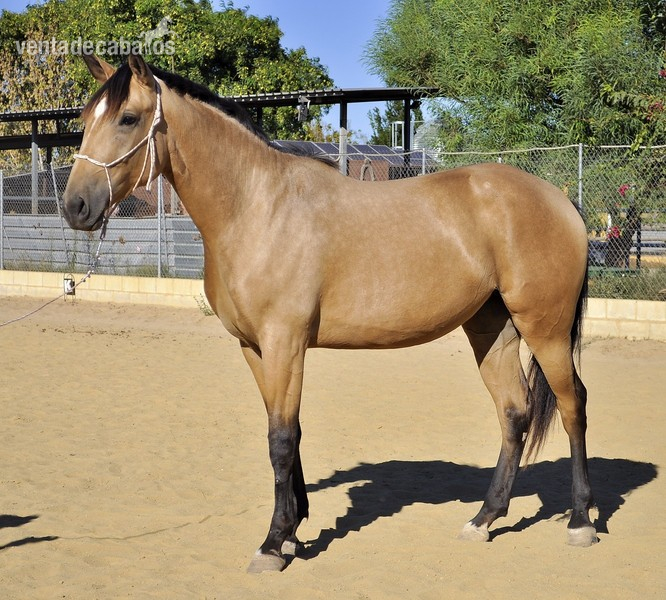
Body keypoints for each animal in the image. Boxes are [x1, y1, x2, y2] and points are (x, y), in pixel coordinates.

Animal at [63, 53, 597, 572]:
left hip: (545, 330)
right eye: (85, 119)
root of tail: (558, 197)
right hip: (492, 329)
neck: (256, 208)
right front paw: (293, 531)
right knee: (514, 412)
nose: (75, 206)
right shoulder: (255, 348)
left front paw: (273, 544)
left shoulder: (285, 343)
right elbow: (287, 433)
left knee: (573, 405)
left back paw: (580, 521)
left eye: (128, 118)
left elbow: (281, 438)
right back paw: (484, 518)